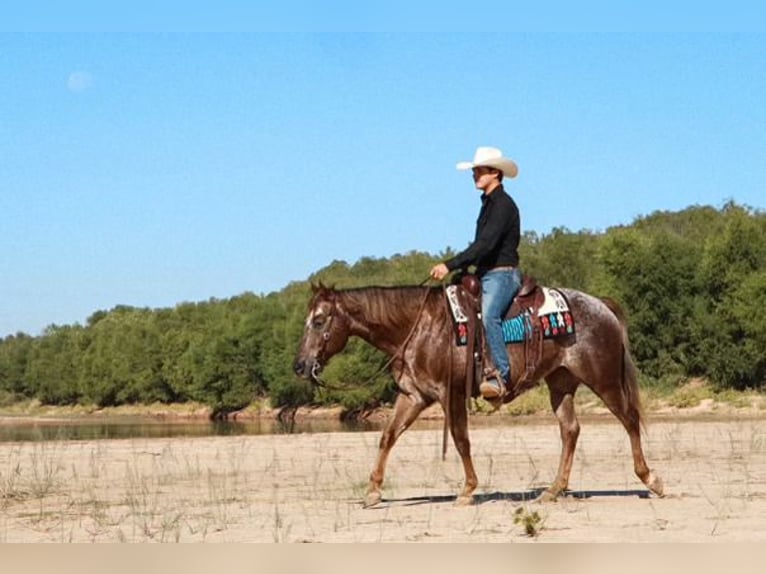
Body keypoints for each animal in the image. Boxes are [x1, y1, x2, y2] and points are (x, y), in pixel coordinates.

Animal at [294, 284, 664, 508]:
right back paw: (553, 490)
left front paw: (468, 489)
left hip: (603, 379)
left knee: (629, 419)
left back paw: (651, 479)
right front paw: (373, 490)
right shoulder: (414, 396)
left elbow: (460, 439)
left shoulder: (451, 393)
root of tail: (602, 305)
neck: (419, 328)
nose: (300, 365)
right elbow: (388, 436)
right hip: (561, 383)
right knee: (570, 431)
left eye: (319, 320)